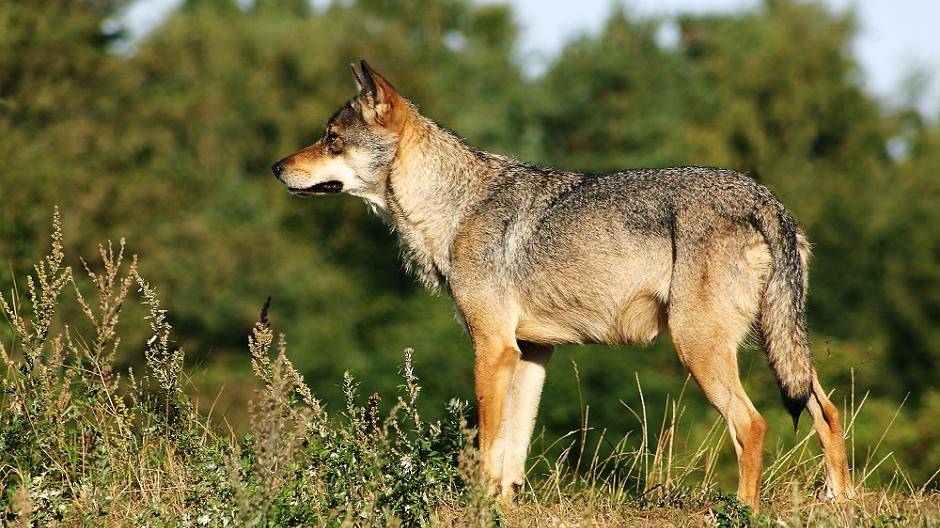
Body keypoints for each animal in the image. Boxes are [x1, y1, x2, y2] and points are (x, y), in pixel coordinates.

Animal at [271, 60, 853, 510]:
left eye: (331, 140)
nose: (276, 167)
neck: (453, 207)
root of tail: (765, 199)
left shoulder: (493, 349)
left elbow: (488, 443)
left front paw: (478, 506)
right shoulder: (531, 353)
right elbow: (513, 450)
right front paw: (503, 507)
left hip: (700, 349)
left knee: (753, 425)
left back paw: (744, 510)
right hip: (776, 346)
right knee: (826, 411)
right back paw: (839, 503)